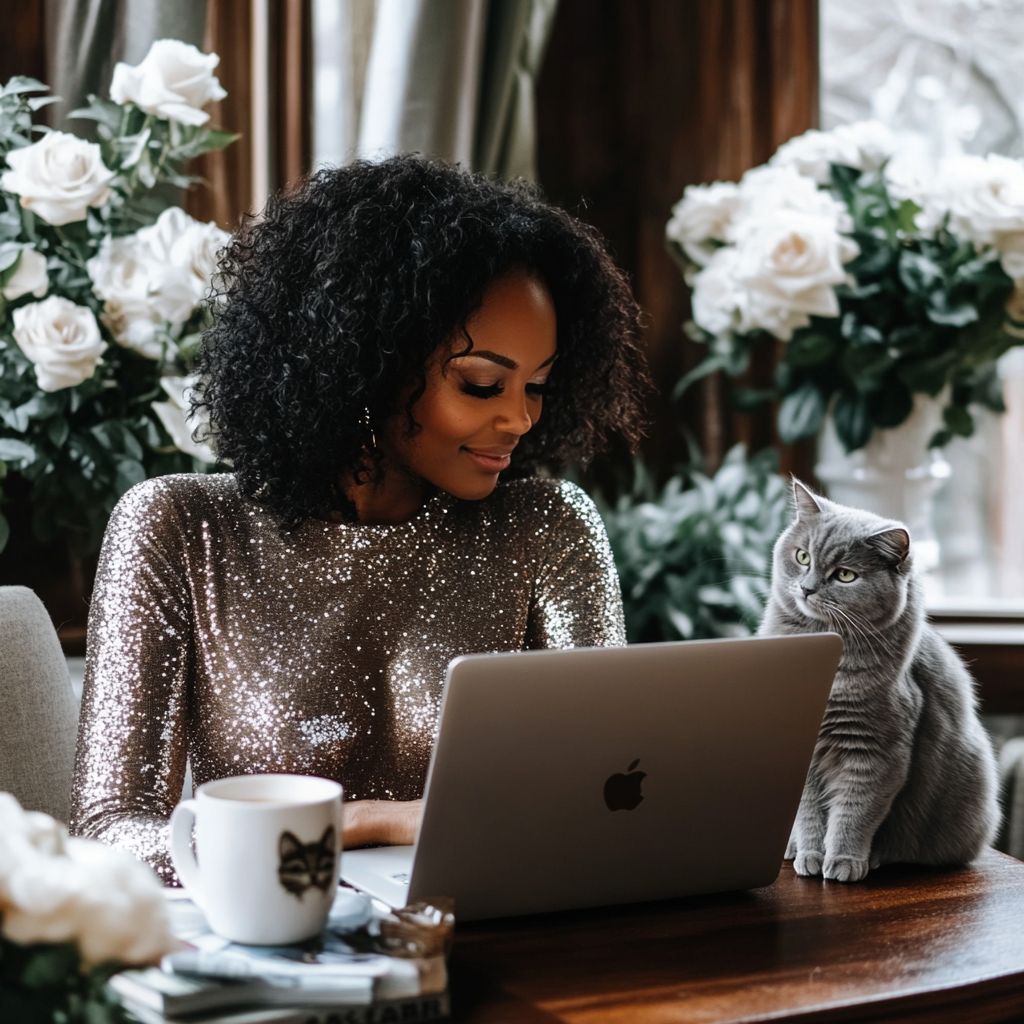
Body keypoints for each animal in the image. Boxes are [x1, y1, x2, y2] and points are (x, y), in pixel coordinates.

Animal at [761, 479, 999, 880]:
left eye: (845, 575)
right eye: (803, 557)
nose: (807, 588)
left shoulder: (875, 751)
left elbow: (855, 811)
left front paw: (844, 861)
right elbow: (807, 813)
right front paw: (810, 855)